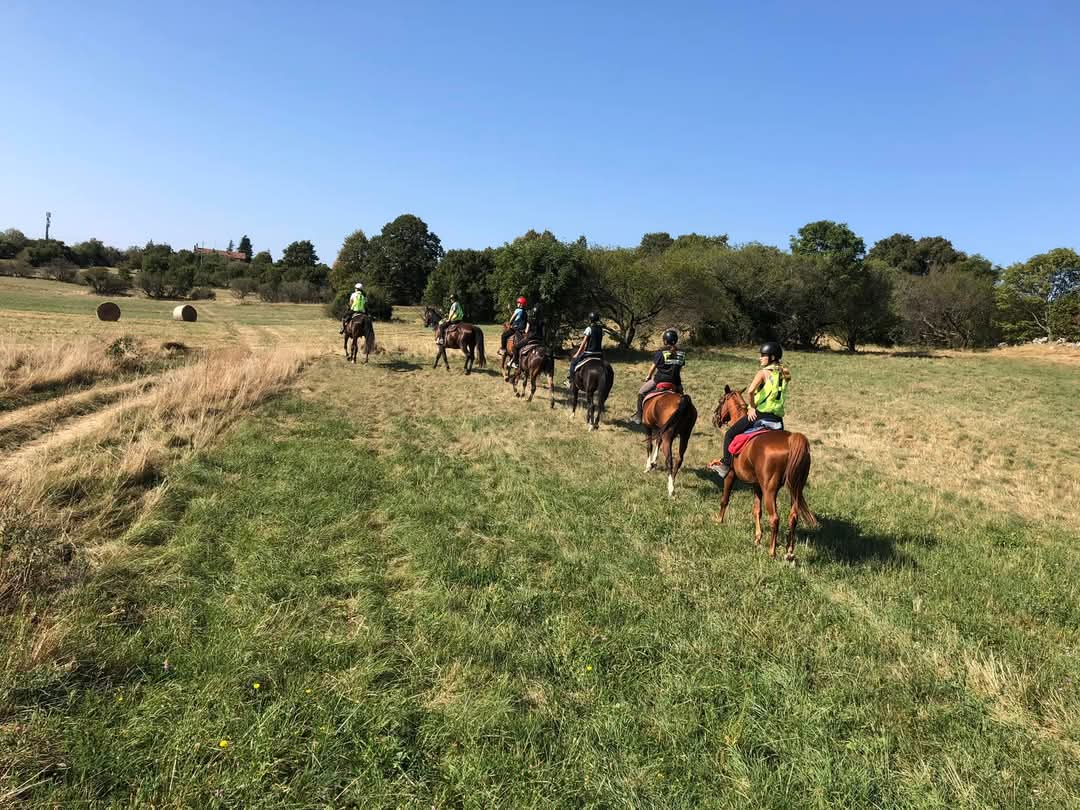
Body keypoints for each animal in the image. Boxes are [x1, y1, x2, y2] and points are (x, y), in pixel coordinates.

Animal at [711, 387, 817, 562]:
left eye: (721, 400)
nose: (715, 419)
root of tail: (792, 440)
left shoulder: (730, 475)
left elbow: (724, 499)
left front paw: (719, 520)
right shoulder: (756, 485)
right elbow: (757, 511)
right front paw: (757, 538)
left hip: (770, 490)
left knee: (775, 518)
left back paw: (772, 552)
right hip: (795, 489)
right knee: (793, 517)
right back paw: (789, 551)